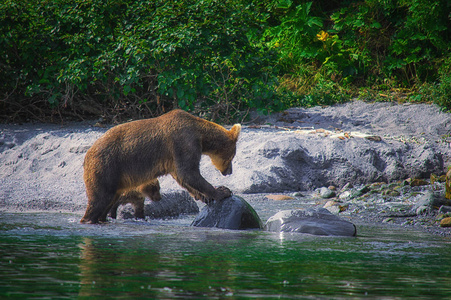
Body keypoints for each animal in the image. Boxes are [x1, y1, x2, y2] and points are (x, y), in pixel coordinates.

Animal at [80, 109, 240, 224]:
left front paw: (206, 197)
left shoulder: (174, 157)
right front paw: (222, 191)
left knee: (109, 200)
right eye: (232, 157)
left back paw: (102, 218)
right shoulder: (183, 142)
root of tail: (88, 153)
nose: (229, 172)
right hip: (106, 167)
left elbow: (183, 178)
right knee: (100, 198)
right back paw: (89, 219)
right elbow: (189, 172)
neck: (201, 136)